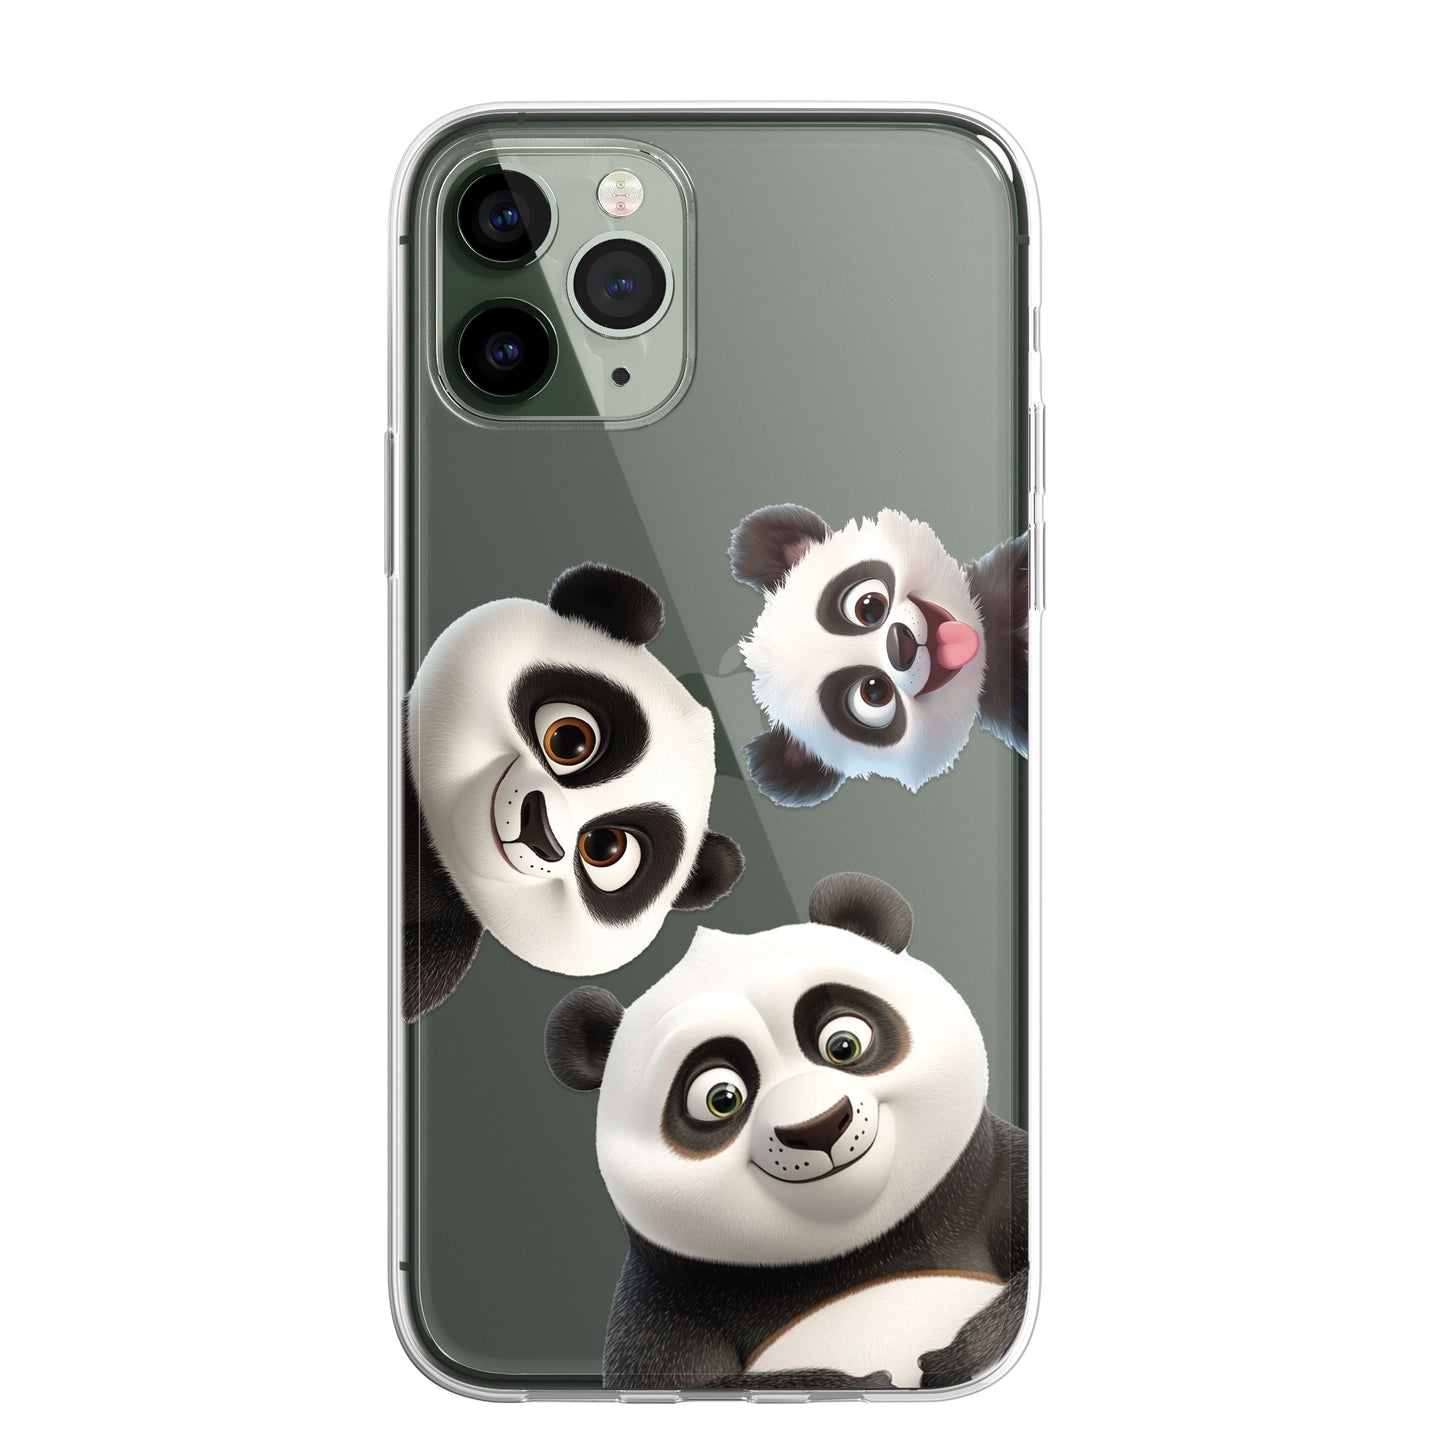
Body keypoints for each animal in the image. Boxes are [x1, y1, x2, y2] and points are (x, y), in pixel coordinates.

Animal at [544, 872, 1028, 1392]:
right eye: (721, 1099)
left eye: (843, 1044)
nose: (818, 1126)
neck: (857, 1245)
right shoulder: (668, 1296)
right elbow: (675, 1383)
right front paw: (863, 1383)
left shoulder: (994, 1179)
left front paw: (961, 1354)